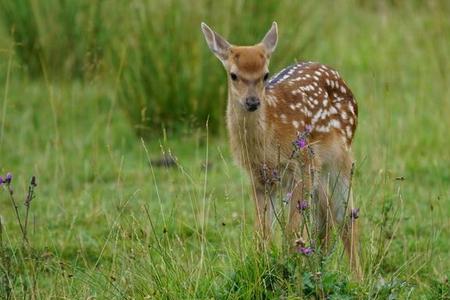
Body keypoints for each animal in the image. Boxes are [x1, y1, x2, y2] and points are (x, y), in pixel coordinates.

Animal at [200, 21, 362, 278]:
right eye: (233, 75)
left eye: (265, 74)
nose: (253, 102)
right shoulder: (258, 177)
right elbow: (262, 234)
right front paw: (262, 268)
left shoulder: (302, 165)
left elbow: (291, 232)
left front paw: (288, 271)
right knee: (324, 214)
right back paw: (321, 266)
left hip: (340, 155)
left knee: (345, 216)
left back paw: (358, 279)